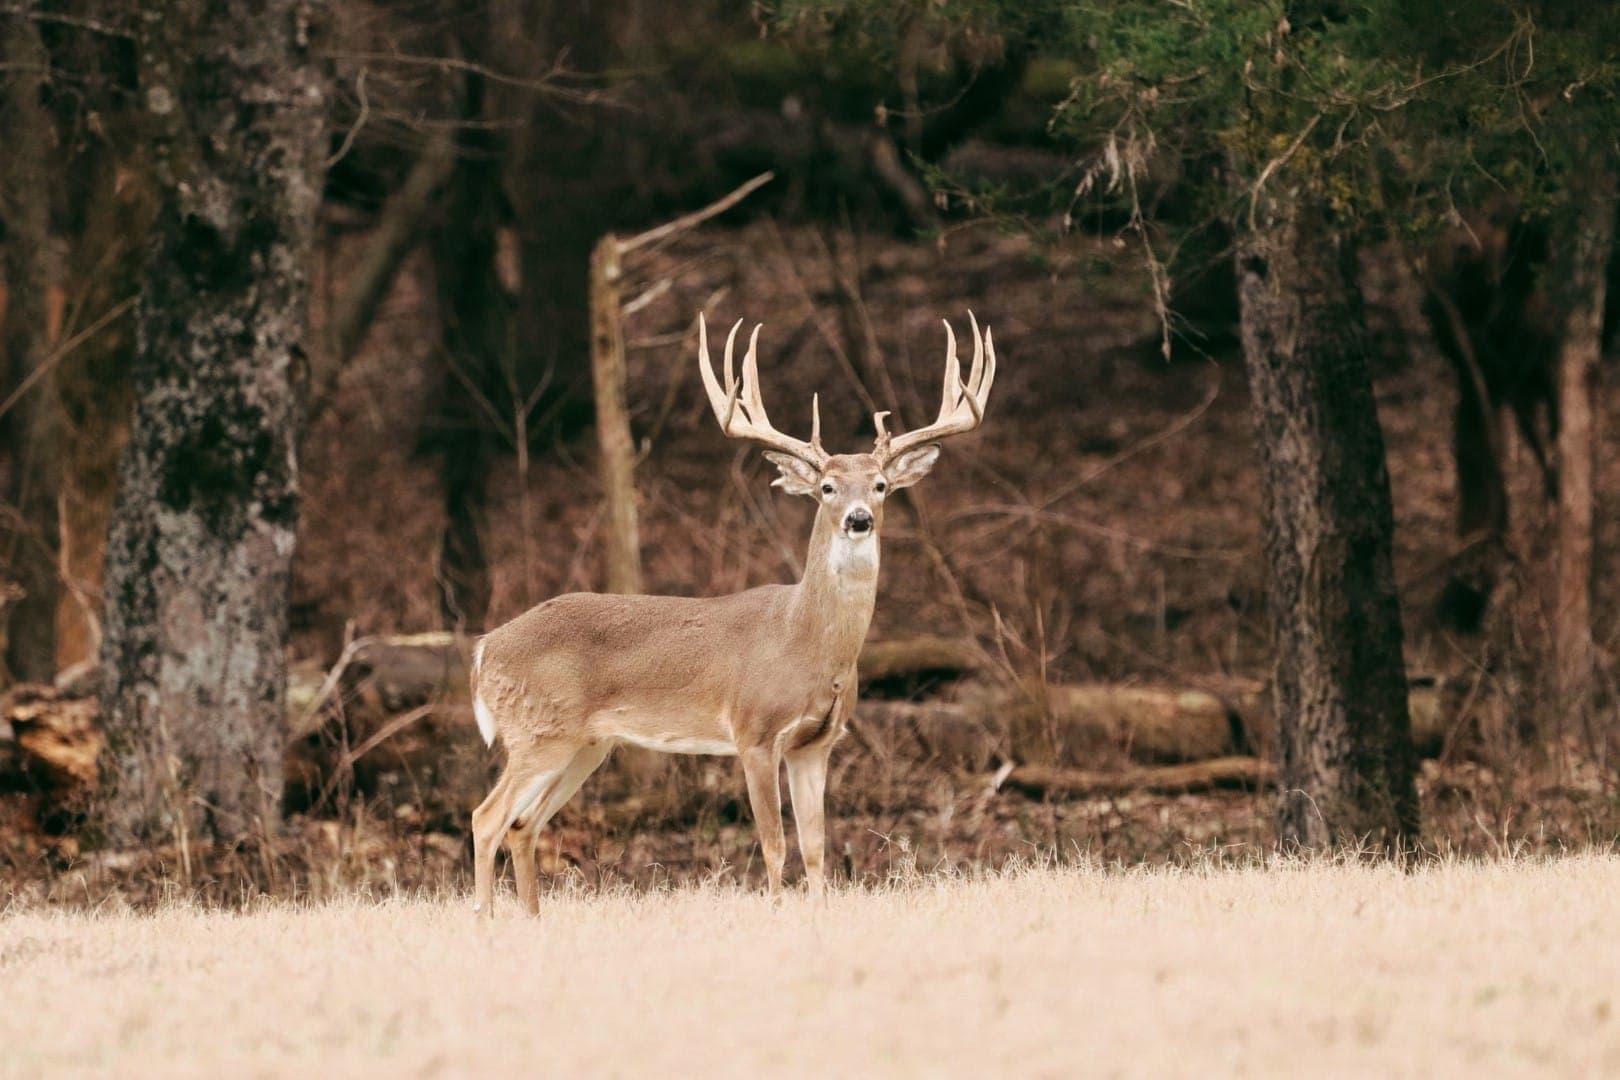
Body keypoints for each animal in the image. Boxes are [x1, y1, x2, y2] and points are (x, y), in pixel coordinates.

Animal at [468, 311, 996, 914]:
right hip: (537, 730)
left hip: (585, 744)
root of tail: (483, 650)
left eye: (881, 485)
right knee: (486, 818)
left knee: (522, 825)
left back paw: (530, 920)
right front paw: (777, 913)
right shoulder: (754, 732)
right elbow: (774, 844)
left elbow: (816, 847)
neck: (804, 642)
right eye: (827, 487)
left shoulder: (817, 744)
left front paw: (819, 915)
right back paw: (484, 920)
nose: (859, 518)